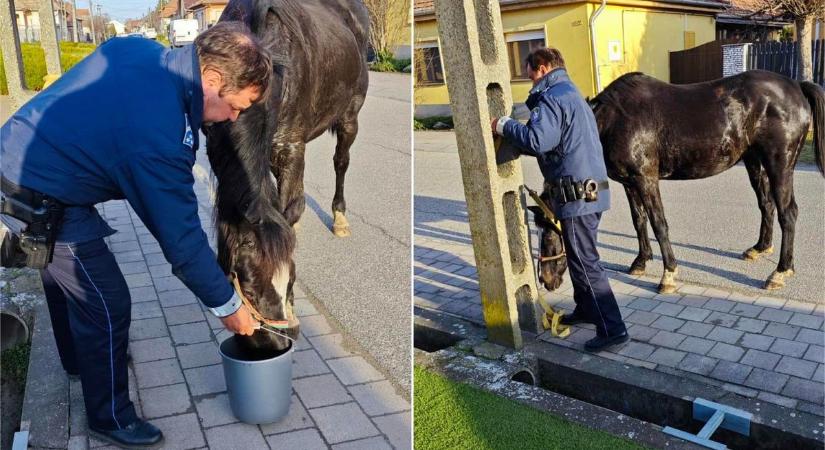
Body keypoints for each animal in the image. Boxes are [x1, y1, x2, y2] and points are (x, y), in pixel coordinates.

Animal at [206, 0, 370, 352]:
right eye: (248, 285)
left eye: (290, 278)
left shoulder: (291, 149)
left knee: (341, 162)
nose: (275, 343)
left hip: (349, 118)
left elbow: (292, 207)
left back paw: (340, 218)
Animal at [532, 69, 820, 296]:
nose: (545, 280)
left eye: (549, 230)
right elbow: (639, 221)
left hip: (779, 165)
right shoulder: (629, 182)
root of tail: (796, 86)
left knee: (788, 213)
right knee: (766, 204)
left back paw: (780, 272)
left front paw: (668, 274)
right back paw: (760, 248)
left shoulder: (646, 179)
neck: (614, 120)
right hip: (754, 161)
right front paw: (640, 262)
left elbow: (659, 224)